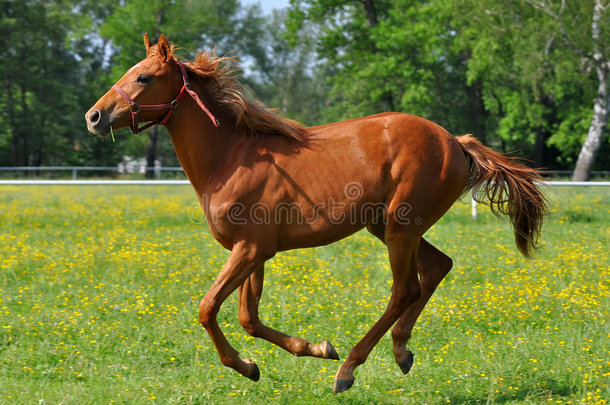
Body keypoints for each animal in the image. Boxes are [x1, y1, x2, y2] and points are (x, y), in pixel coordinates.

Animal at [85, 35, 548, 392]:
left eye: (143, 77)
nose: (94, 116)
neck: (231, 158)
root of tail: (456, 142)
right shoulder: (252, 252)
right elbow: (248, 317)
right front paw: (300, 353)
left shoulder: (250, 249)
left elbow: (208, 308)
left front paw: (255, 364)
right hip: (388, 226)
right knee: (438, 268)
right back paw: (401, 351)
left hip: (400, 229)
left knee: (405, 289)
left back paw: (348, 370)